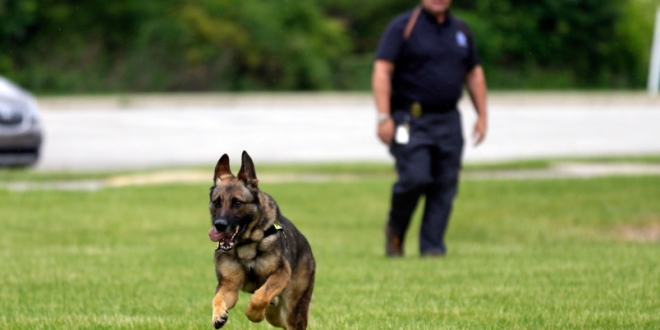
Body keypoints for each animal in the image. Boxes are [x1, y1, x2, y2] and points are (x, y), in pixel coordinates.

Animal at [209, 151, 318, 328]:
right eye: (216, 202)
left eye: (237, 202)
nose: (219, 225)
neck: (247, 245)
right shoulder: (229, 286)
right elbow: (217, 298)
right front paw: (218, 315)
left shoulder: (280, 274)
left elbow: (260, 296)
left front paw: (254, 315)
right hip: (276, 315)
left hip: (293, 310)